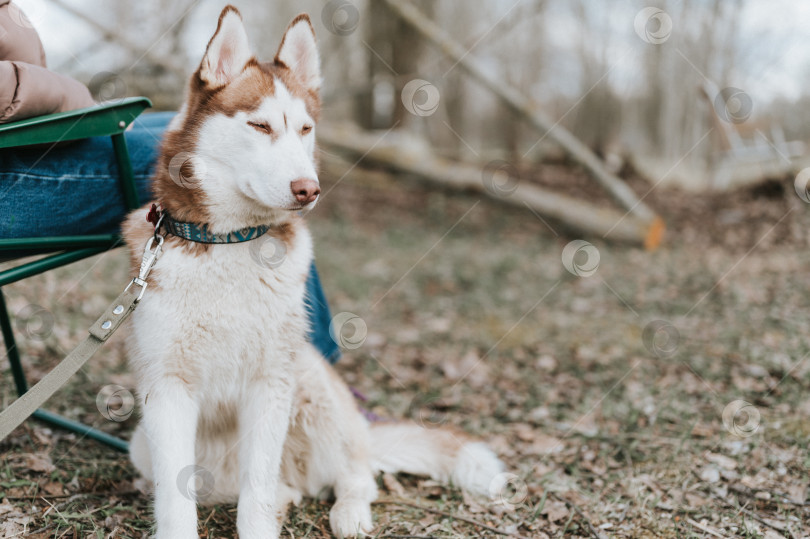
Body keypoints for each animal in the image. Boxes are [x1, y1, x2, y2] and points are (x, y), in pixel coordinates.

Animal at [123, 6, 502, 536]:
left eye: (304, 130)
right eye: (260, 126)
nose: (309, 189)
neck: (230, 242)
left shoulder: (270, 383)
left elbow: (257, 491)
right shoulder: (166, 388)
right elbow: (176, 500)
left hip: (310, 382)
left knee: (355, 475)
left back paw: (349, 513)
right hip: (143, 444)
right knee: (273, 488)